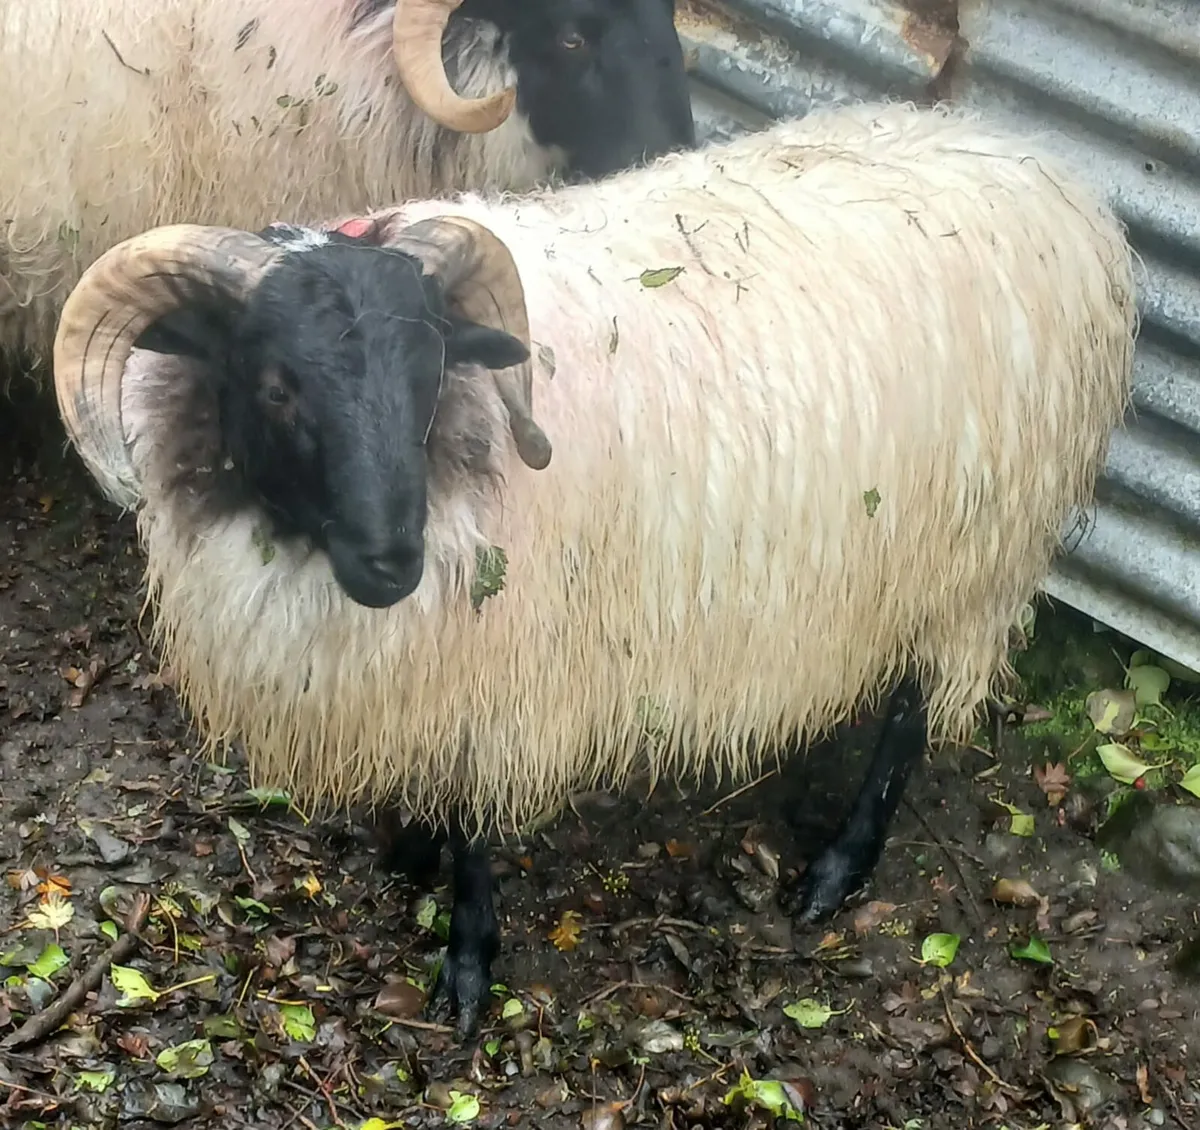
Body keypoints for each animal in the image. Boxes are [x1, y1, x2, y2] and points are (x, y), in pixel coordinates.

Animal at [51, 100, 1138, 1038]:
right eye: (275, 385)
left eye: (431, 370)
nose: (392, 562)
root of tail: (1047, 170)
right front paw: (405, 852)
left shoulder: (500, 666)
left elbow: (474, 820)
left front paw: (467, 961)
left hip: (972, 549)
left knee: (911, 714)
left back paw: (837, 868)